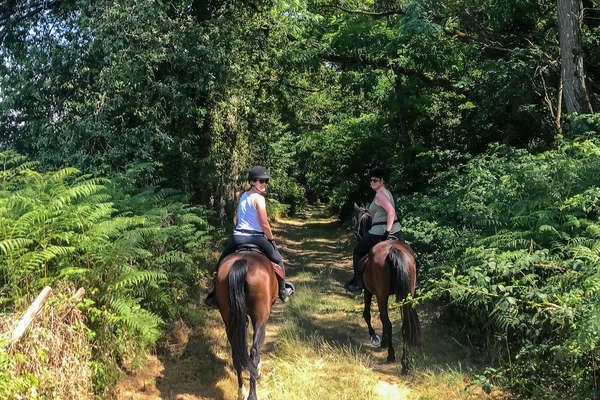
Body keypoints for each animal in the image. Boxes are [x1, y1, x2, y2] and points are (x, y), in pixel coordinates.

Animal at [214, 248, 278, 398]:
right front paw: (258, 369)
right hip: (260, 317)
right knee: (254, 351)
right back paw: (252, 394)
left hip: (229, 317)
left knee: (236, 351)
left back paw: (241, 392)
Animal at [352, 205, 422, 374]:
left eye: (354, 219)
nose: (354, 233)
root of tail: (393, 251)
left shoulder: (369, 292)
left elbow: (368, 315)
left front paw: (376, 338)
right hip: (406, 295)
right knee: (404, 325)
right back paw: (405, 364)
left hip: (381, 295)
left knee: (388, 322)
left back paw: (391, 355)